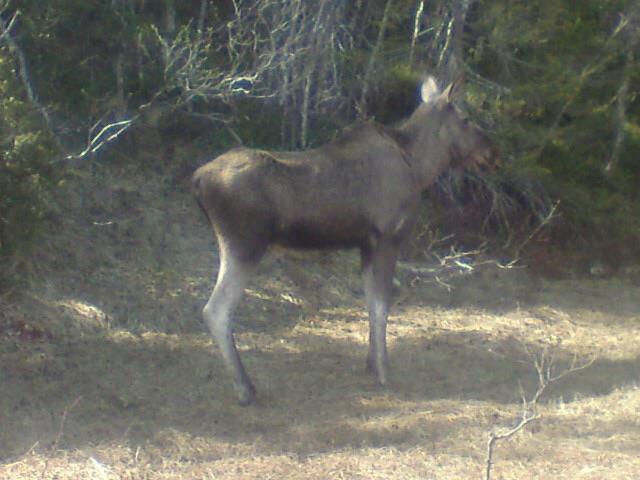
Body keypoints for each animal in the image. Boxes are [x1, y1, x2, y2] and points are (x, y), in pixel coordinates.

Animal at [192, 76, 498, 404]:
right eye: (465, 118)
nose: (492, 151)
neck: (418, 167)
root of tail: (197, 179)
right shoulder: (388, 237)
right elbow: (382, 306)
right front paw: (383, 373)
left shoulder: (366, 245)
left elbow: (370, 303)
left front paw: (370, 363)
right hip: (244, 244)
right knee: (216, 310)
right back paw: (245, 388)